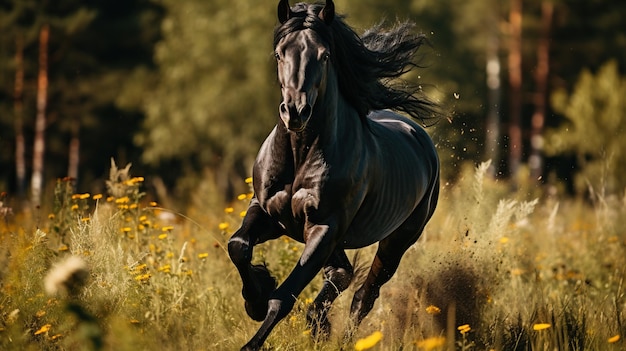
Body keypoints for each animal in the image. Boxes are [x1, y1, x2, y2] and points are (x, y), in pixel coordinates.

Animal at [228, 1, 438, 350]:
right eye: (279, 54)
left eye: (325, 55)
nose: (295, 112)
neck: (301, 155)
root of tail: (419, 137)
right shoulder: (270, 214)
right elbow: (238, 247)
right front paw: (254, 298)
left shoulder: (324, 228)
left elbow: (283, 297)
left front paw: (252, 339)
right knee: (342, 273)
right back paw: (318, 322)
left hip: (397, 239)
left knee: (364, 294)